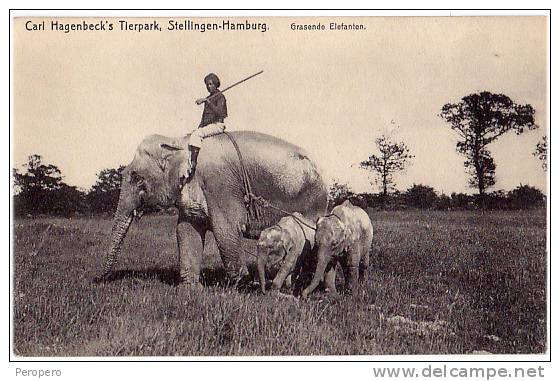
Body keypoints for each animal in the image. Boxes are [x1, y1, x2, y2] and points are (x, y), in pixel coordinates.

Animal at [101, 131, 328, 284]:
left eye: (137, 178)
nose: (100, 279)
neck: (181, 141)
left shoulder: (220, 186)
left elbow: (226, 229)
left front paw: (241, 284)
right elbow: (186, 230)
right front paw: (191, 288)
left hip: (310, 201)